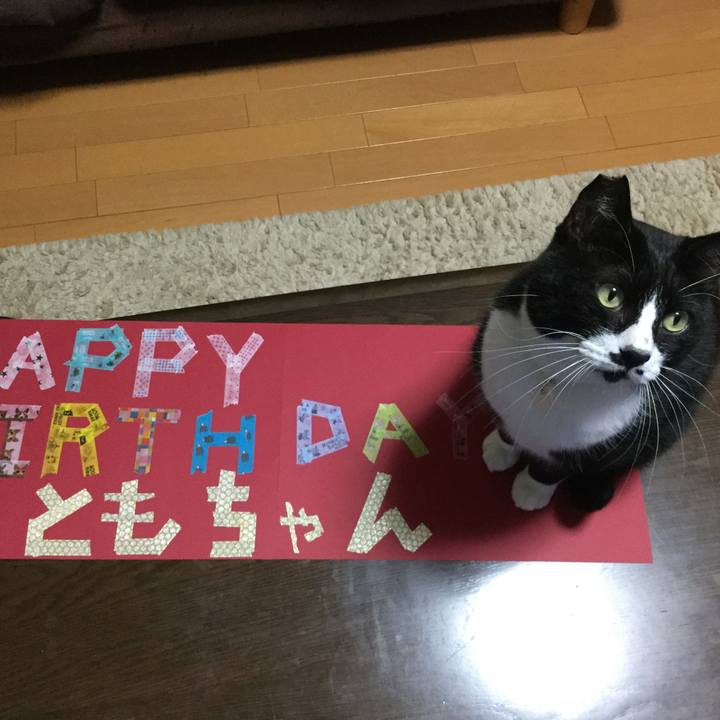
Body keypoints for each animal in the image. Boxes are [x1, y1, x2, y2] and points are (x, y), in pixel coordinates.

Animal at [474, 174, 720, 512]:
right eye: (610, 295)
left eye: (676, 320)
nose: (634, 355)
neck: (556, 384)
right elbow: (506, 424)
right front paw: (499, 449)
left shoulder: (601, 444)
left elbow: (559, 467)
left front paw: (531, 489)